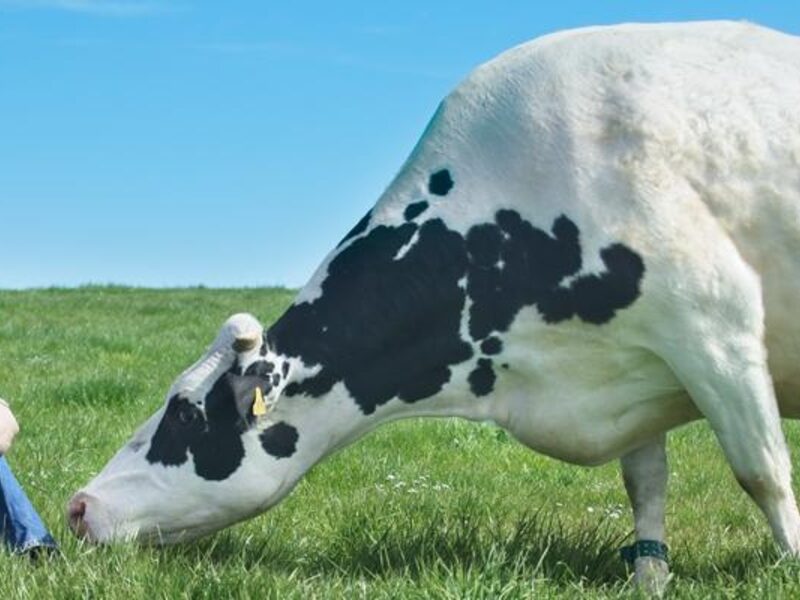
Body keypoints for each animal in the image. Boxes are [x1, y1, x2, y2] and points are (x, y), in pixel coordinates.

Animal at [68, 21, 800, 592]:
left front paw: (790, 568)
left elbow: (762, 472)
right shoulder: (633, 369)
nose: (77, 506)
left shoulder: (715, 329)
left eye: (185, 415)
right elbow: (646, 486)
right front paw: (651, 578)